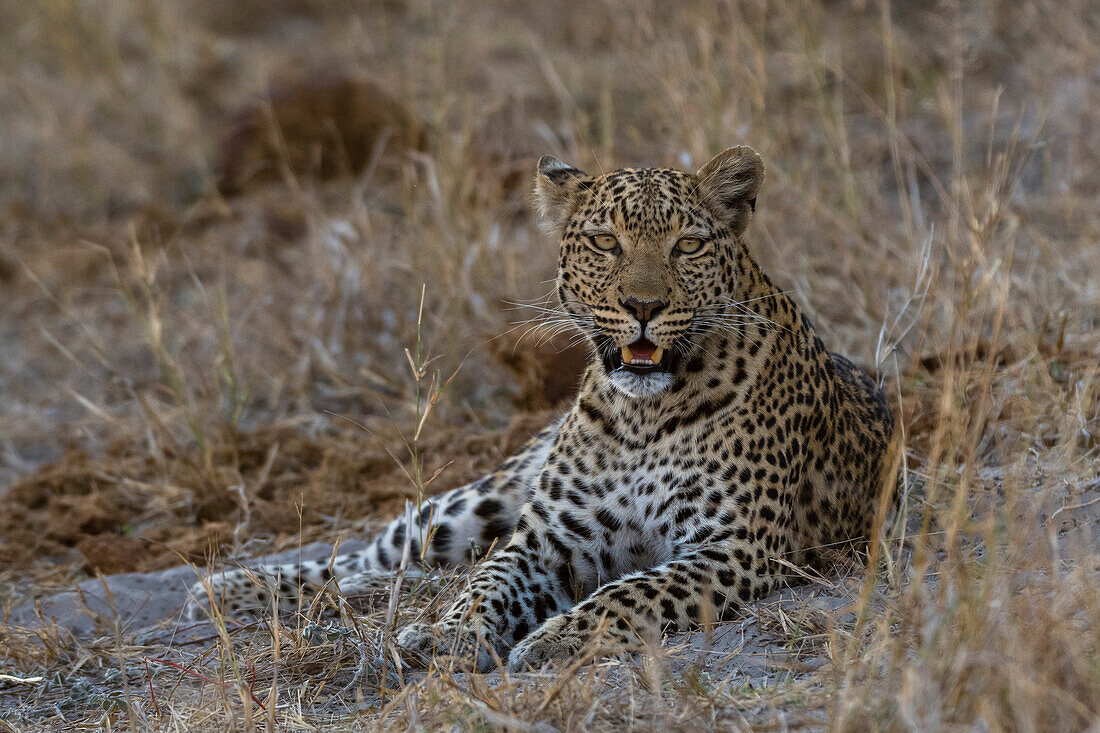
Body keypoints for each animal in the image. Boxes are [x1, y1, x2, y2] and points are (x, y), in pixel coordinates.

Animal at [187, 145, 893, 669]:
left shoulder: (734, 547)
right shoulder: (547, 537)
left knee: (405, 574)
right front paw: (450, 635)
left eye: (687, 246)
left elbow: (631, 592)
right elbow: (488, 586)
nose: (643, 307)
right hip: (474, 504)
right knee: (382, 555)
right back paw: (230, 589)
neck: (644, 417)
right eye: (606, 242)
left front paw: (557, 639)